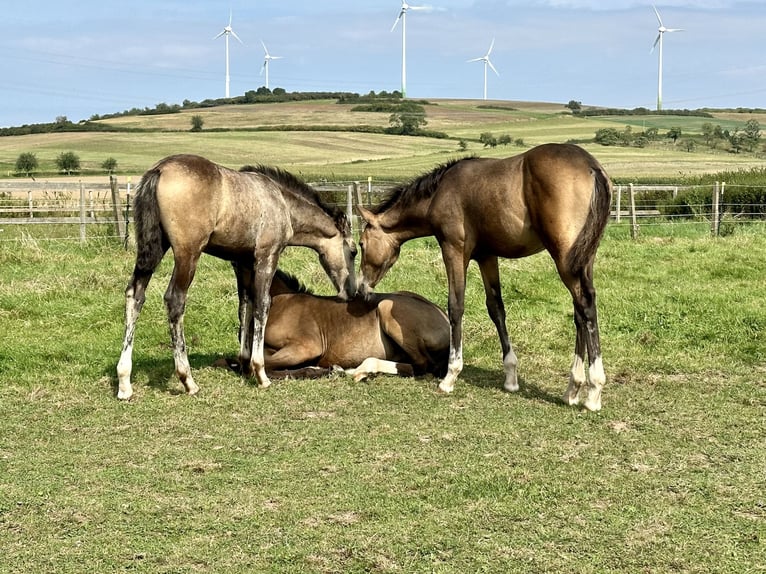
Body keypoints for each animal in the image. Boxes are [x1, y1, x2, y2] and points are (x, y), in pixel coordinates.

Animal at [118, 155, 360, 402]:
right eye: (353, 251)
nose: (352, 292)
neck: (282, 203)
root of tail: (160, 169)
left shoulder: (242, 263)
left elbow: (245, 306)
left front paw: (244, 364)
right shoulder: (267, 256)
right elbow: (262, 305)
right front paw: (260, 373)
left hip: (155, 248)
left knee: (135, 295)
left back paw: (124, 382)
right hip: (188, 254)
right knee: (175, 300)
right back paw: (188, 380)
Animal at [225, 268, 452, 382]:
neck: (280, 303)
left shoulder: (307, 347)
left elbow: (254, 365)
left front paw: (318, 370)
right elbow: (237, 362)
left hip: (387, 307)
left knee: (422, 365)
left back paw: (360, 370)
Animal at [356, 144, 616, 414]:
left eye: (361, 244)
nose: (361, 288)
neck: (439, 192)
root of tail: (591, 166)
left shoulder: (453, 249)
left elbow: (455, 306)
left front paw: (450, 376)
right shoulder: (486, 256)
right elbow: (496, 308)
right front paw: (510, 377)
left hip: (564, 258)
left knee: (585, 306)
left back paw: (594, 390)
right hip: (583, 260)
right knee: (580, 313)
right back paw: (572, 389)